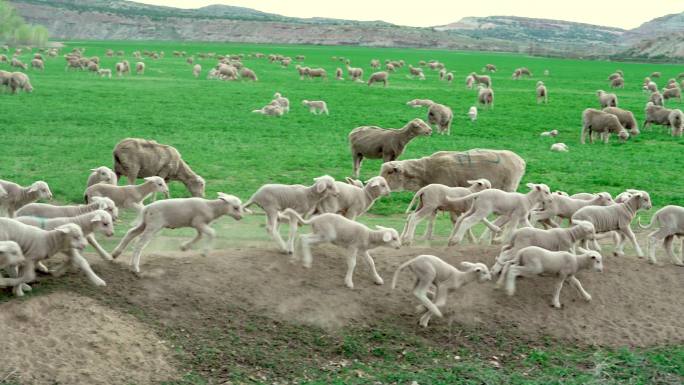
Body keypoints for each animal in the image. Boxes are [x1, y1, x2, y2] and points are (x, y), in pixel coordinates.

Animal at [113, 192, 247, 272]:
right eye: (235, 207)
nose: (241, 217)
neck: (211, 207)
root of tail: (147, 208)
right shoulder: (198, 222)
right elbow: (211, 233)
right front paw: (205, 252)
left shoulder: (197, 224)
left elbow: (199, 235)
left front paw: (184, 247)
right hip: (153, 225)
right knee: (139, 244)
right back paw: (135, 267)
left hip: (144, 223)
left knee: (130, 233)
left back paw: (116, 254)